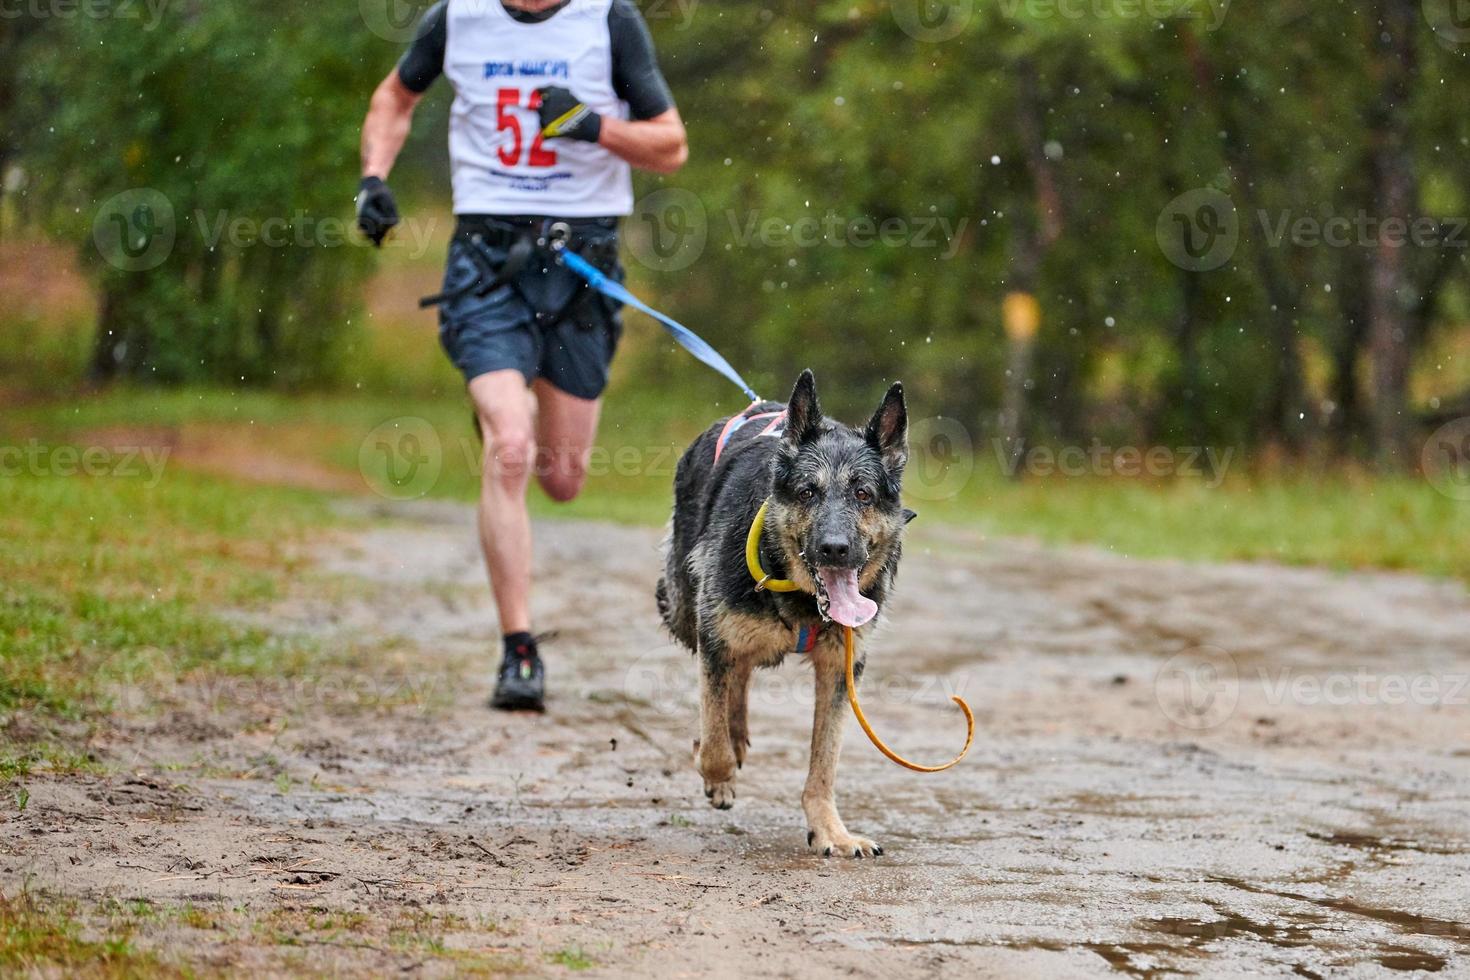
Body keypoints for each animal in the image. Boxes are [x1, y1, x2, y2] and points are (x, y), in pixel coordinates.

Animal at [655, 370, 905, 858]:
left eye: (863, 494)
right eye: (808, 492)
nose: (834, 549)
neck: (803, 600)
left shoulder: (839, 671)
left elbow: (824, 765)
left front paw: (831, 831)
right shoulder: (715, 639)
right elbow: (712, 741)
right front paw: (717, 774)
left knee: (742, 675)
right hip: (683, 609)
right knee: (729, 676)